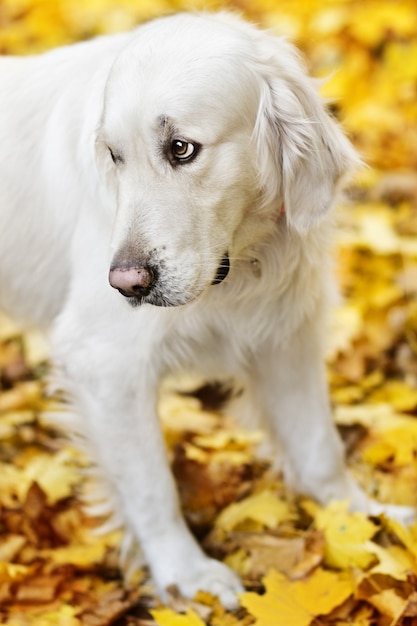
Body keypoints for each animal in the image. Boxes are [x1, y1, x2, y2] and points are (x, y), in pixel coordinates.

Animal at [0, 9, 410, 604]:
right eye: (115, 157)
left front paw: (366, 521)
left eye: (181, 149)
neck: (239, 264)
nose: (125, 284)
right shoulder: (105, 364)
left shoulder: (286, 336)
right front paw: (188, 577)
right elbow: (152, 486)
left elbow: (319, 447)